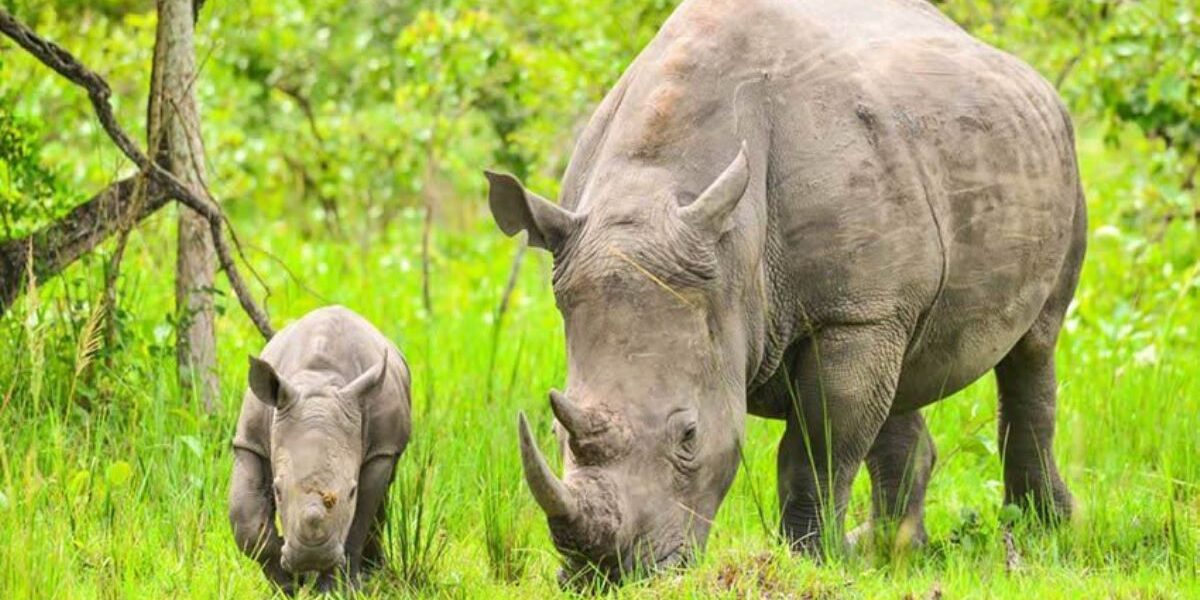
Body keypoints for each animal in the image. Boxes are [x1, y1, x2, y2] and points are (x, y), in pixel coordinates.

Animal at [228, 306, 411, 593]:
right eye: (277, 491)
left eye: (351, 491)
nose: (310, 556)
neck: (319, 382)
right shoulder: (250, 442)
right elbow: (244, 520)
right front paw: (288, 585)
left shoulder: (382, 450)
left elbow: (357, 521)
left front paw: (336, 590)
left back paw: (371, 574)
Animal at [486, 0, 1085, 585]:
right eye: (558, 435)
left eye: (689, 436)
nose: (606, 576)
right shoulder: (861, 306)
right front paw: (836, 557)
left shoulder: (851, 314)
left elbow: (817, 448)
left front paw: (811, 561)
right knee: (899, 372)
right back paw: (890, 551)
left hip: (1062, 157)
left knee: (1034, 347)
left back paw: (1039, 530)